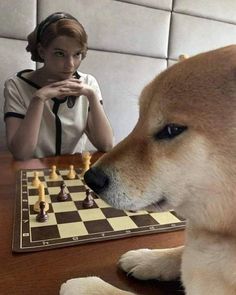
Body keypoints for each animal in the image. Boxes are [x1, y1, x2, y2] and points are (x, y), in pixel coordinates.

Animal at [60, 45, 236, 295]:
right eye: (140, 118)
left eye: (172, 129)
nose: (91, 178)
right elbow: (181, 251)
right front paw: (148, 258)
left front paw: (86, 285)